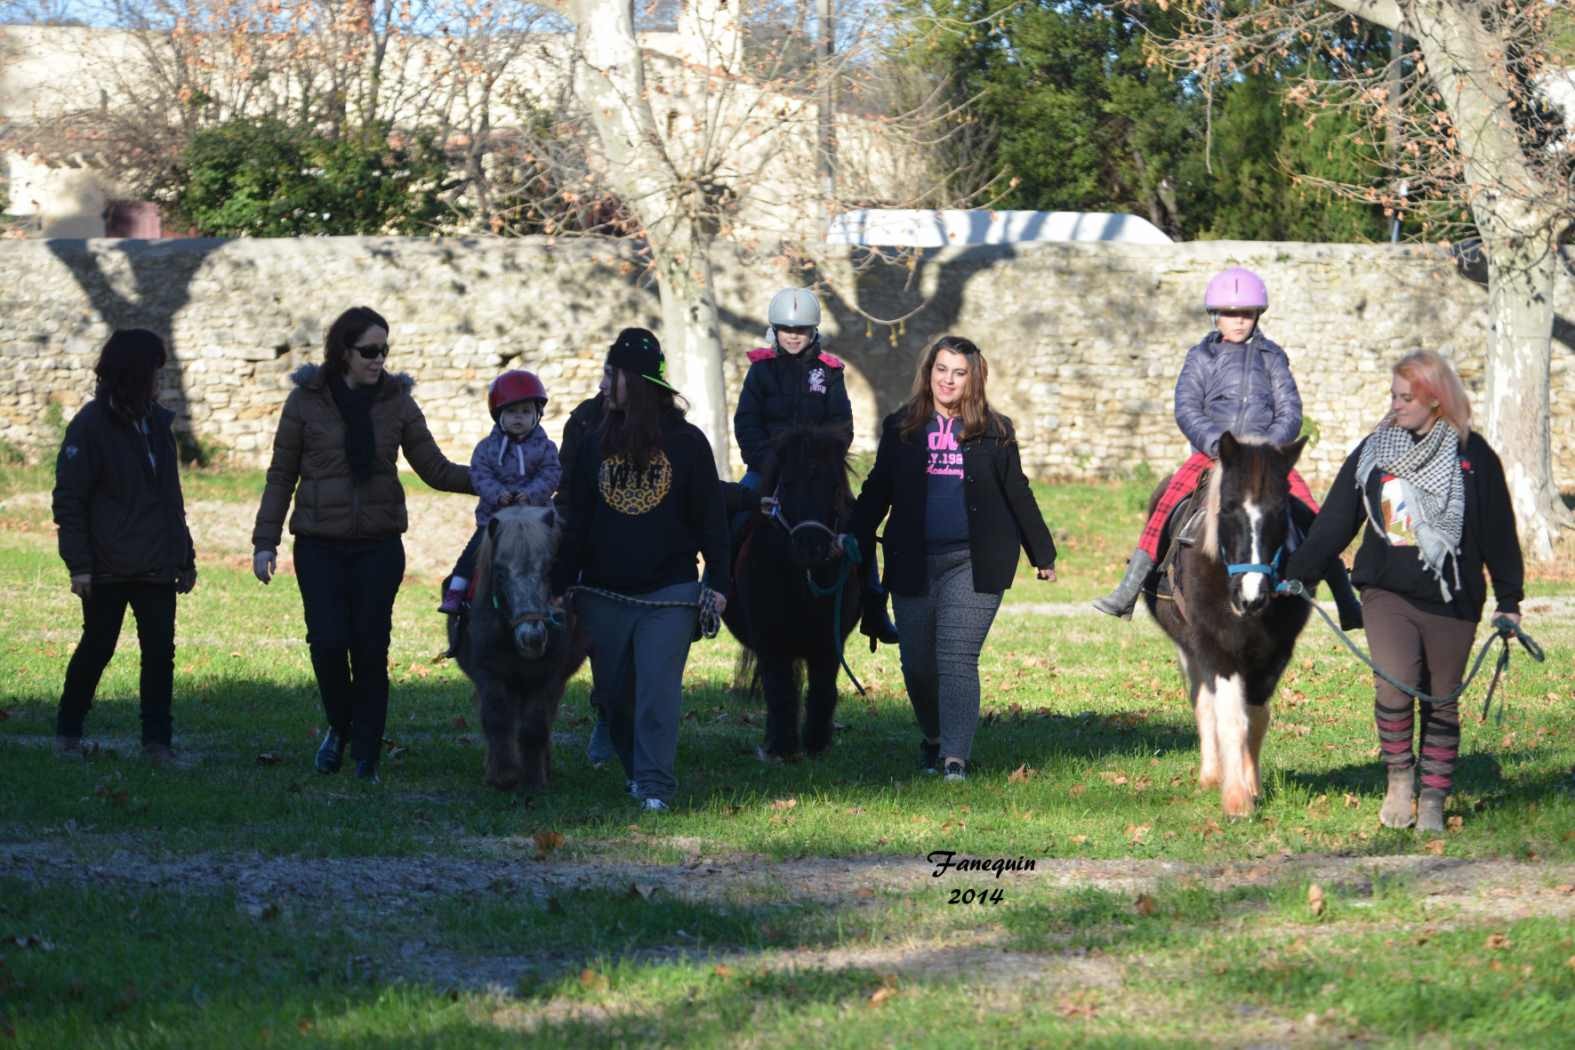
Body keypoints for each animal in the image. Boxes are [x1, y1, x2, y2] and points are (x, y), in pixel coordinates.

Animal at [721, 421, 863, 758]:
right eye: (786, 484)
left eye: (834, 487)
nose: (810, 548)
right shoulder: (771, 640)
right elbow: (780, 690)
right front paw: (782, 748)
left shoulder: (829, 641)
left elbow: (823, 688)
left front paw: (816, 744)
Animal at [1146, 431, 1316, 818]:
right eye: (1228, 508)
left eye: (1280, 512)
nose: (1251, 597)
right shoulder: (1217, 650)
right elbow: (1229, 717)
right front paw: (1236, 798)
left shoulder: (1275, 654)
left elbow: (1256, 719)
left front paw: (1252, 786)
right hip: (1189, 650)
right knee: (1204, 704)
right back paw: (1212, 774)